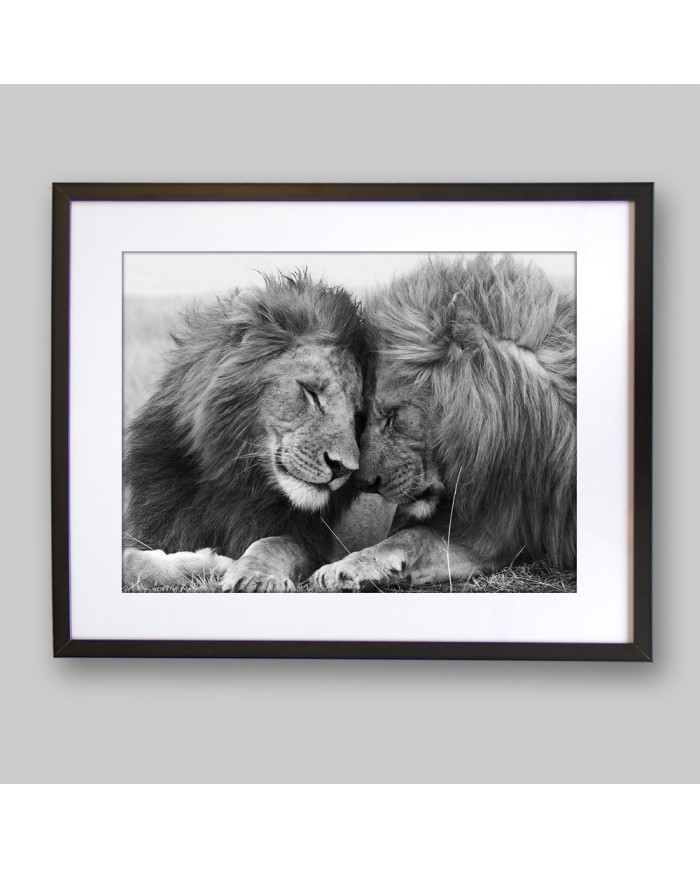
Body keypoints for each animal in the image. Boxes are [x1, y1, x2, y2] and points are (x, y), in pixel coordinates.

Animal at [123, 271, 366, 592]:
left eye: (358, 414)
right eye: (311, 393)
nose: (343, 469)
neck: (232, 477)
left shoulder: (309, 539)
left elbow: (274, 544)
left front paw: (255, 575)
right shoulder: (150, 527)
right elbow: (131, 561)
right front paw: (209, 564)